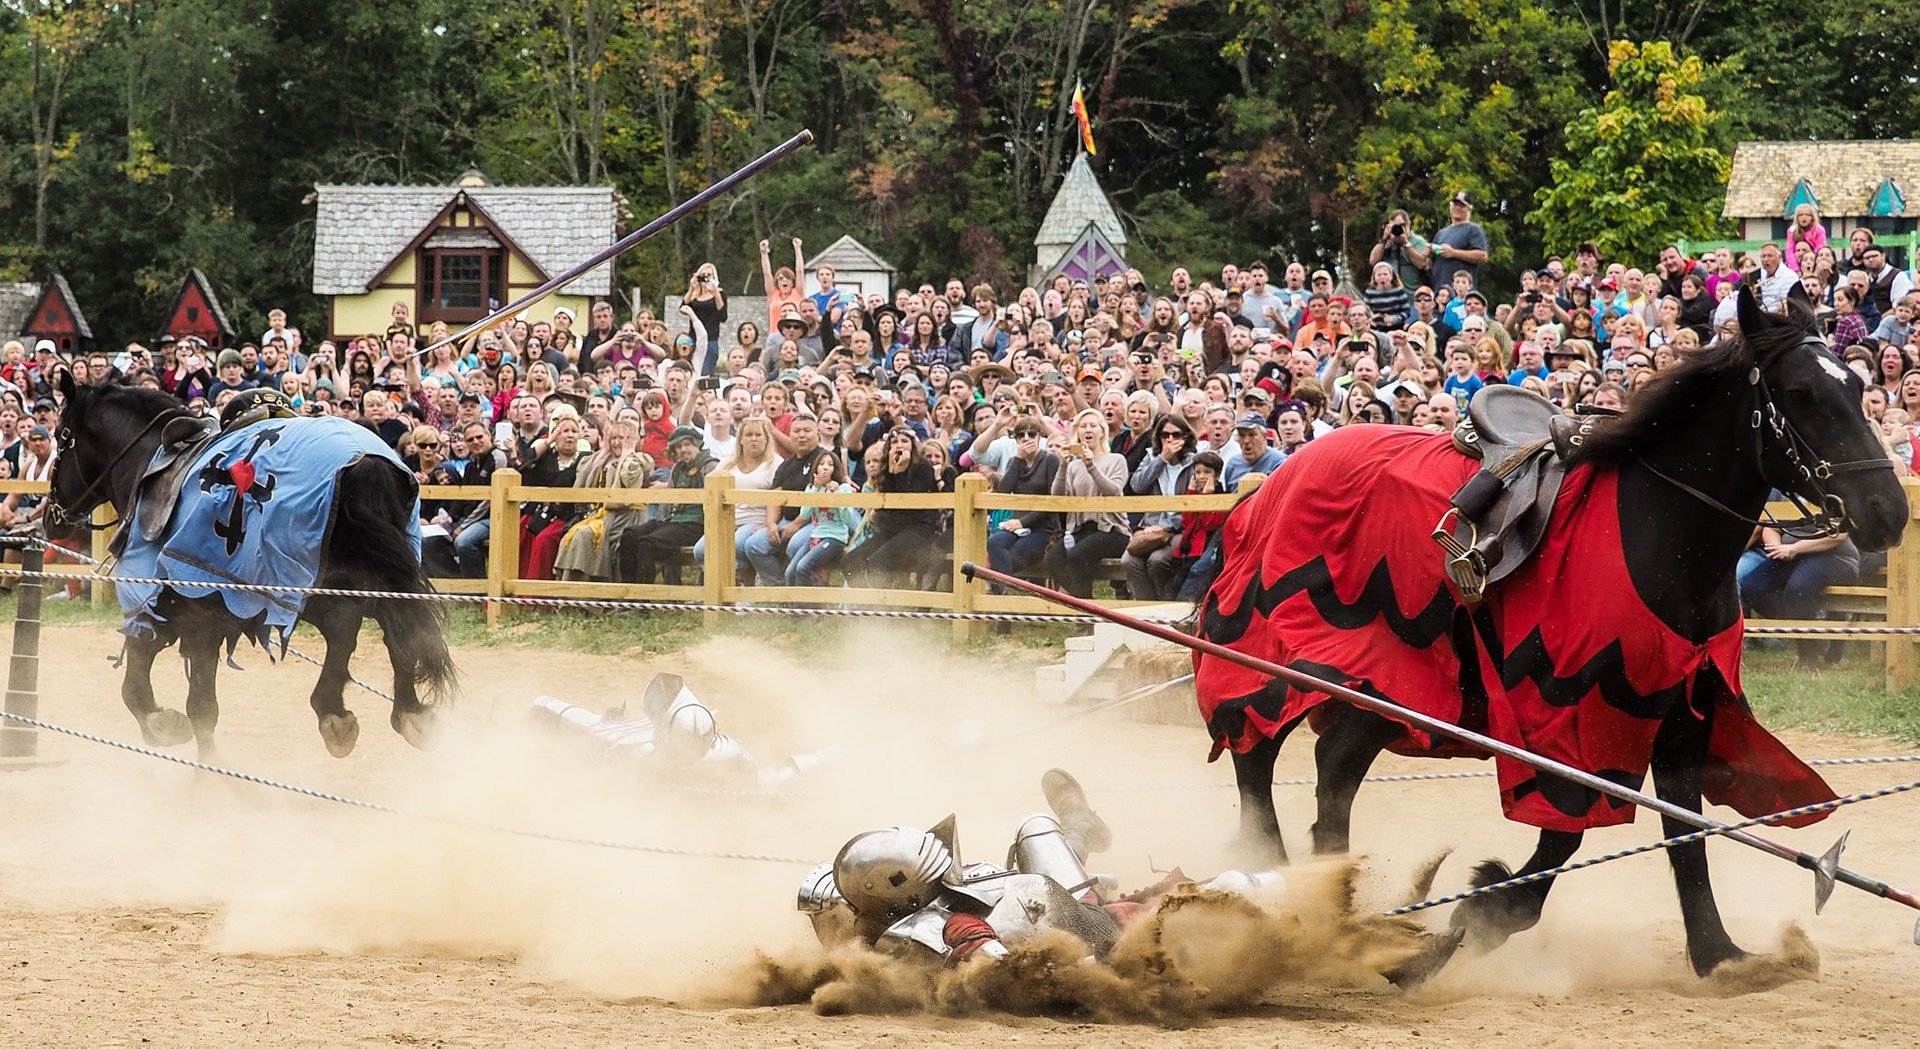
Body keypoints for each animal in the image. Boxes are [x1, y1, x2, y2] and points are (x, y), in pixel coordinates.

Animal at [47, 376, 453, 760]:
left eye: (60, 437)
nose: (52, 517)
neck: (149, 463)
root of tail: (365, 462)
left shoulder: (180, 604)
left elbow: (168, 695)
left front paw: (170, 732)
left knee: (352, 627)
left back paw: (336, 711)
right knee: (399, 627)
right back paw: (403, 712)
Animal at [1190, 286, 1912, 972]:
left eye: (1856, 388)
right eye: (1801, 394)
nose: (1889, 512)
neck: (1654, 530)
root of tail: (1271, 480)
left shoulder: (1679, 710)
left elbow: (1685, 833)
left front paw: (1718, 954)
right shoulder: (1575, 720)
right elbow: (1567, 832)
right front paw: (1477, 913)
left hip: (1387, 683)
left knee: (1330, 768)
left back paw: (1332, 906)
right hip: (1305, 657)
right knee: (1255, 745)